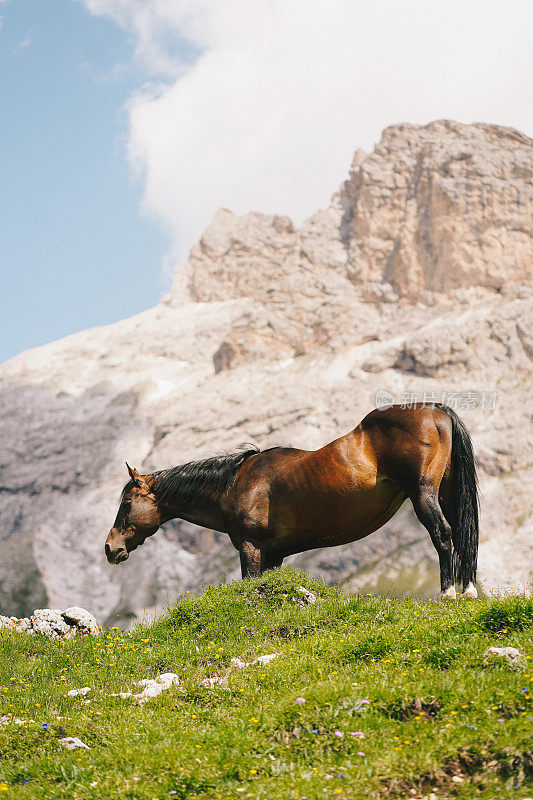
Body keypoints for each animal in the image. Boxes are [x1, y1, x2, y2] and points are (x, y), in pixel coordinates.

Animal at [104, 406, 478, 600]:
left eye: (127, 503)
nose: (110, 548)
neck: (236, 481)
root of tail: (435, 411)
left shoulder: (251, 548)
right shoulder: (275, 554)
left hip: (423, 495)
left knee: (444, 536)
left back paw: (449, 594)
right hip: (444, 494)